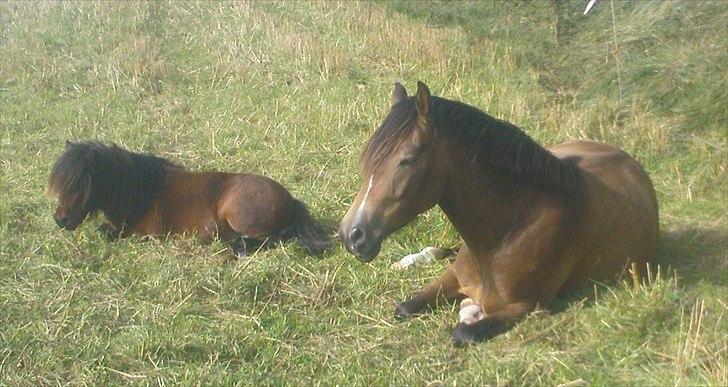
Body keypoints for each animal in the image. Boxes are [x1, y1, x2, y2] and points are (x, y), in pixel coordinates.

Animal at [47, 141, 328, 256]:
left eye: (81, 182)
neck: (141, 192)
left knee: (273, 240)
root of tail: (291, 201)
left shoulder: (148, 234)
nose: (60, 219)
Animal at [342, 81, 660, 346]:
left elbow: (463, 333)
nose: (351, 235)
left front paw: (470, 314)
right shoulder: (453, 276)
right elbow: (405, 307)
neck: (511, 227)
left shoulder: (527, 306)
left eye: (407, 160)